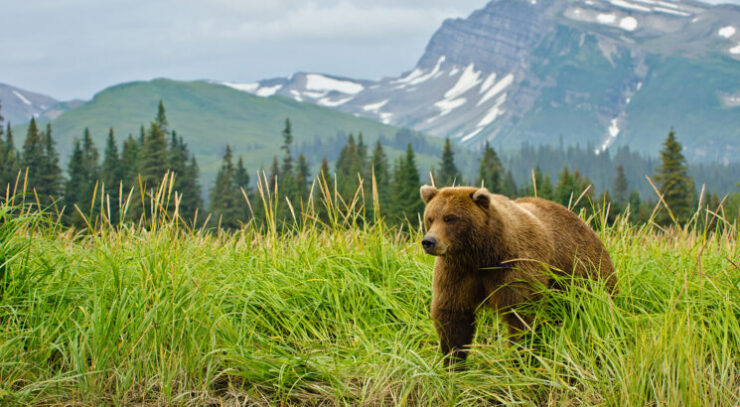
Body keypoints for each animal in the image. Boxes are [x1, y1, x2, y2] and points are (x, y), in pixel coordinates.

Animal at [419, 185, 616, 366]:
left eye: (450, 218)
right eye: (430, 218)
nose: (429, 241)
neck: (484, 255)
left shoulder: (517, 267)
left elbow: (522, 314)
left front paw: (520, 359)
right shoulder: (457, 271)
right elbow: (453, 314)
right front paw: (453, 363)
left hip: (584, 273)